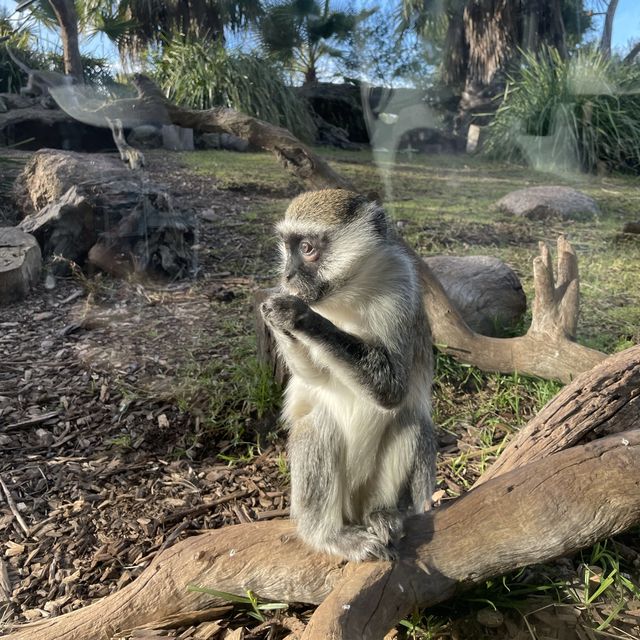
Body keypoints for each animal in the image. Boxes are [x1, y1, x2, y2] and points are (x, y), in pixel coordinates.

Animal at [260, 190, 436, 560]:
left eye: (307, 248)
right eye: (287, 247)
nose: (287, 275)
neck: (347, 291)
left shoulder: (401, 284)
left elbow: (393, 389)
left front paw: (297, 316)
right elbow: (313, 377)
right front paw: (275, 314)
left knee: (410, 422)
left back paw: (383, 513)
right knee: (318, 426)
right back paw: (327, 536)